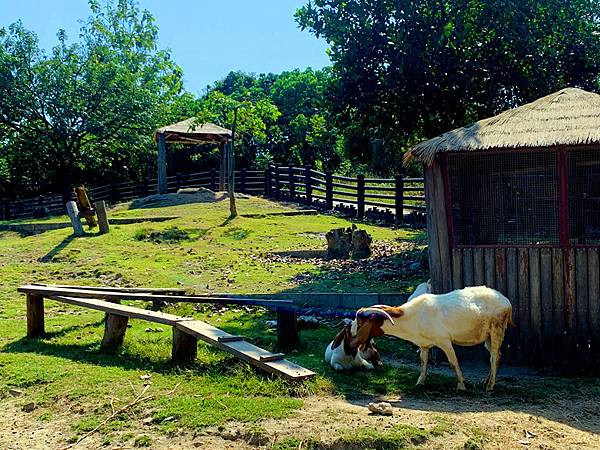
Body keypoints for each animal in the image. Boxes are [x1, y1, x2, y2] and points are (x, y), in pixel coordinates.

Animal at [352, 286, 510, 392]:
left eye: (360, 323)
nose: (353, 341)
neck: (413, 316)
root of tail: (506, 302)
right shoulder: (424, 345)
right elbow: (423, 362)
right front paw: (420, 383)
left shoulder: (444, 341)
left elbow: (454, 362)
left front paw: (461, 386)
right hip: (488, 336)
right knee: (494, 356)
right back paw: (486, 382)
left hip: (497, 330)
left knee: (495, 357)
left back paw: (490, 387)